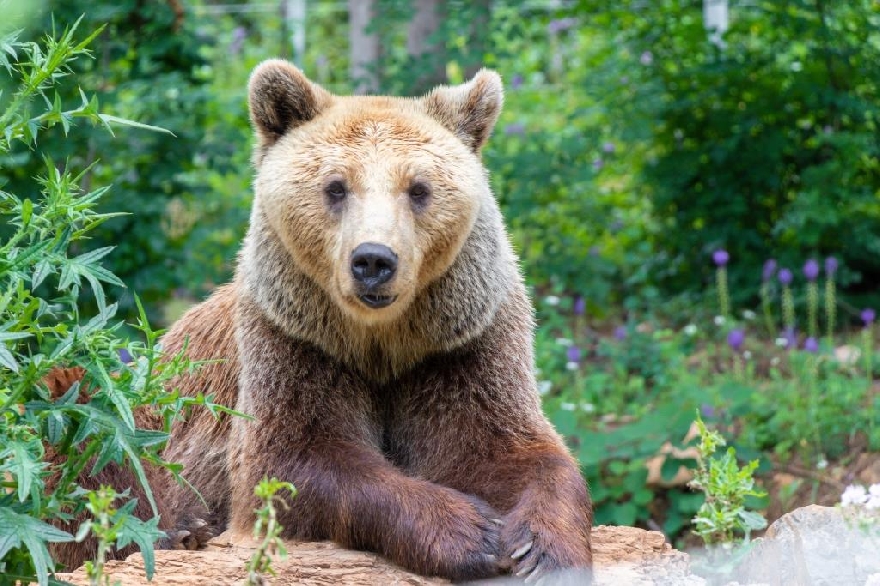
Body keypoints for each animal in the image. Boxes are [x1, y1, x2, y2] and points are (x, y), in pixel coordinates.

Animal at [51, 59, 592, 580]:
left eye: (419, 189)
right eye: (336, 187)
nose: (373, 260)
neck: (381, 341)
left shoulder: (461, 345)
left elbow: (509, 448)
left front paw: (541, 549)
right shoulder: (295, 342)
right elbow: (295, 462)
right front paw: (471, 531)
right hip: (130, 409)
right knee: (87, 420)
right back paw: (180, 529)